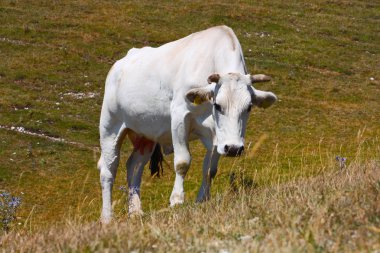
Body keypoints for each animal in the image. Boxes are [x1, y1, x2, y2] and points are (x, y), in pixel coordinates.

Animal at [98, 25, 276, 222]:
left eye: (249, 107)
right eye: (218, 105)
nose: (234, 149)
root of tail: (119, 65)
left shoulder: (217, 136)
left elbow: (210, 169)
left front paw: (203, 199)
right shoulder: (179, 117)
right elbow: (182, 162)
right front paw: (176, 200)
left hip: (146, 136)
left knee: (134, 166)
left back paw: (136, 211)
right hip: (110, 127)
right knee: (108, 170)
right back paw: (107, 217)